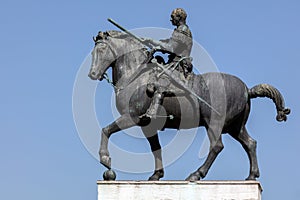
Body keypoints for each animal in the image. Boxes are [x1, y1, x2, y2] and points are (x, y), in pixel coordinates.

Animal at [88, 30, 290, 181]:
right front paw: (156, 175)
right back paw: (251, 176)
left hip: (214, 122)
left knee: (217, 146)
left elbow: (106, 130)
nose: (92, 74)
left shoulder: (132, 116)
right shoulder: (147, 125)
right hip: (235, 126)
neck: (136, 75)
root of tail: (247, 90)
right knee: (250, 143)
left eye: (102, 49)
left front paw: (105, 159)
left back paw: (196, 174)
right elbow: (156, 148)